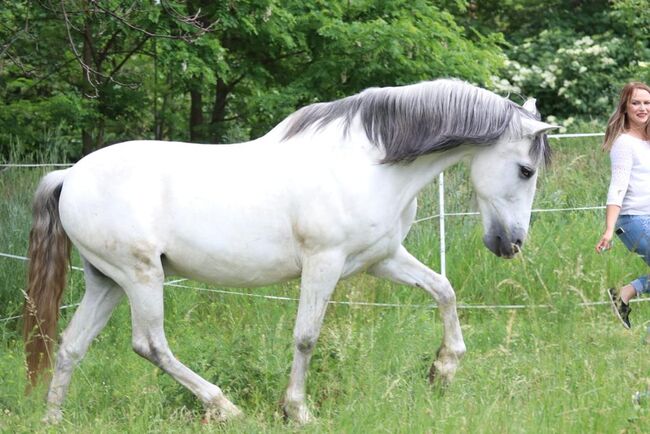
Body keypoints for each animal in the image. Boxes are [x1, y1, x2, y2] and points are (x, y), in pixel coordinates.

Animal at [22, 79, 556, 424]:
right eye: (526, 170)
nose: (511, 243)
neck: (370, 163)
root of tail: (70, 176)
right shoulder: (324, 262)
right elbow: (305, 337)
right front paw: (297, 410)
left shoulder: (381, 258)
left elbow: (443, 290)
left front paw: (443, 370)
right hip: (139, 277)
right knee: (150, 345)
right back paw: (224, 406)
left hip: (106, 280)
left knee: (71, 345)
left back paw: (53, 420)